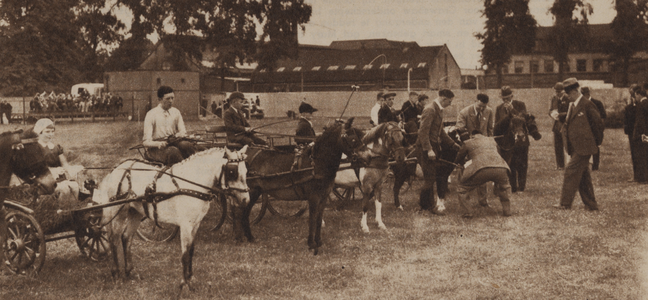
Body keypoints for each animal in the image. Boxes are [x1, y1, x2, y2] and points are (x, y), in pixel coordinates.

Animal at [95, 145, 249, 290]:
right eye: (232, 172)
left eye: (246, 171)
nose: (245, 200)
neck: (191, 183)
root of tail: (117, 169)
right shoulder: (186, 225)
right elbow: (185, 254)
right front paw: (184, 284)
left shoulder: (196, 224)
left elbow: (191, 251)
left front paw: (191, 279)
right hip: (118, 212)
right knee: (114, 239)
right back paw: (116, 274)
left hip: (136, 212)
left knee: (126, 237)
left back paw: (130, 272)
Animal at [239, 118, 372, 254]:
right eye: (353, 139)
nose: (368, 157)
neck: (316, 164)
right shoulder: (313, 197)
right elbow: (312, 218)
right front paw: (311, 244)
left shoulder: (323, 197)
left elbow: (319, 218)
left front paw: (319, 241)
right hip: (250, 191)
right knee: (242, 212)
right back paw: (244, 237)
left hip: (256, 191)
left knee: (243, 213)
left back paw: (247, 237)